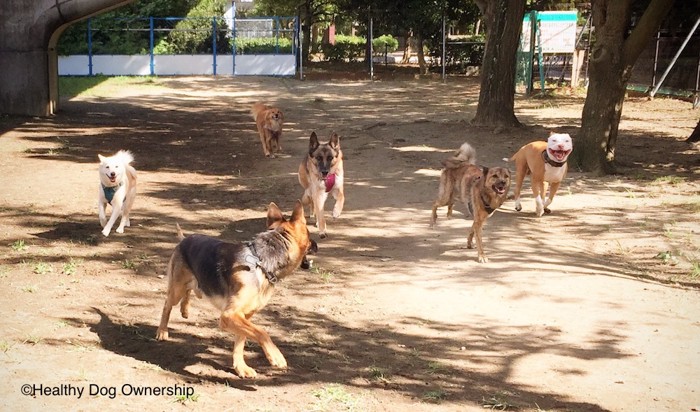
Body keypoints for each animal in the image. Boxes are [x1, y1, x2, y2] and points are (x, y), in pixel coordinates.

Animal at [156, 201, 318, 378]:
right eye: (309, 235)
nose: (317, 244)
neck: (261, 262)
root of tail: (183, 240)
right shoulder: (229, 315)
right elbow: (262, 332)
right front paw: (275, 356)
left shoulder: (244, 316)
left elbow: (241, 341)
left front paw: (241, 367)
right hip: (176, 290)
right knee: (167, 304)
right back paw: (162, 332)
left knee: (188, 292)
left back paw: (185, 310)